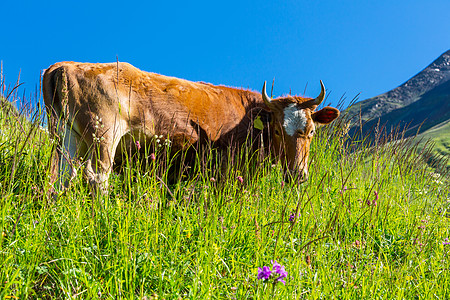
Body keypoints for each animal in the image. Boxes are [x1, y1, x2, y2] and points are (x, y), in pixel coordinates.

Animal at [43, 62, 342, 193]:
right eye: (279, 130)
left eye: (311, 132)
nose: (297, 175)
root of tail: (64, 65)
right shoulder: (227, 172)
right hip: (104, 133)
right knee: (96, 177)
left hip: (68, 137)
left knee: (64, 177)